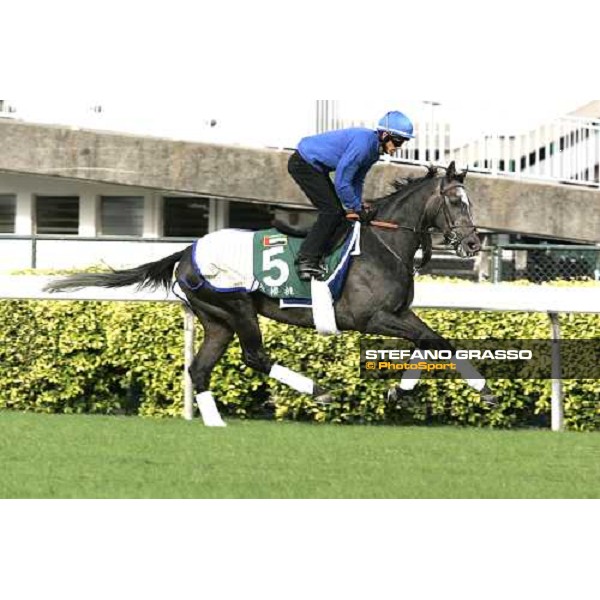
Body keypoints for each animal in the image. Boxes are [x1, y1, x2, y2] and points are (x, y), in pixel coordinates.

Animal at [45, 162, 496, 420]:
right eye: (456, 202)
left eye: (470, 202)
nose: (473, 244)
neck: (382, 245)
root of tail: (186, 252)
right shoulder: (371, 319)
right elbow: (432, 341)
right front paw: (407, 390)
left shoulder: (399, 314)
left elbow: (437, 341)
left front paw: (421, 391)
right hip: (237, 307)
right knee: (255, 357)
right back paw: (319, 391)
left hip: (217, 321)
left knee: (200, 370)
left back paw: (216, 424)